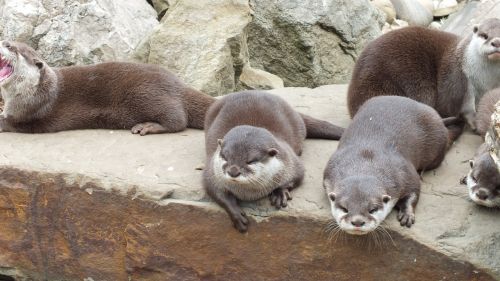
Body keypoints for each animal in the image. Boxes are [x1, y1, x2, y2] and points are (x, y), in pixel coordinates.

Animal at [0, 40, 213, 135]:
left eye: (12, 48)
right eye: (8, 42)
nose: (5, 41)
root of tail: (178, 84)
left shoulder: (31, 114)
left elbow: (11, 123)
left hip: (144, 94)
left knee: (178, 120)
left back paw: (147, 127)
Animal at [203, 90, 344, 232]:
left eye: (250, 161)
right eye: (225, 157)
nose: (233, 172)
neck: (249, 193)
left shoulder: (291, 162)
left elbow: (298, 176)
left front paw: (280, 193)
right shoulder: (211, 171)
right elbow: (214, 191)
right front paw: (236, 214)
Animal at [322, 95, 462, 233]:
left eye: (372, 209)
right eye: (344, 208)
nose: (357, 221)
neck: (365, 159)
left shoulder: (404, 172)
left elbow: (414, 191)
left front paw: (407, 214)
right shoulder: (329, 171)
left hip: (438, 144)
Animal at [346, 18, 500, 130]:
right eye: (485, 35)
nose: (496, 42)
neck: (486, 80)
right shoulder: (460, 77)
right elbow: (465, 106)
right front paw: (475, 122)